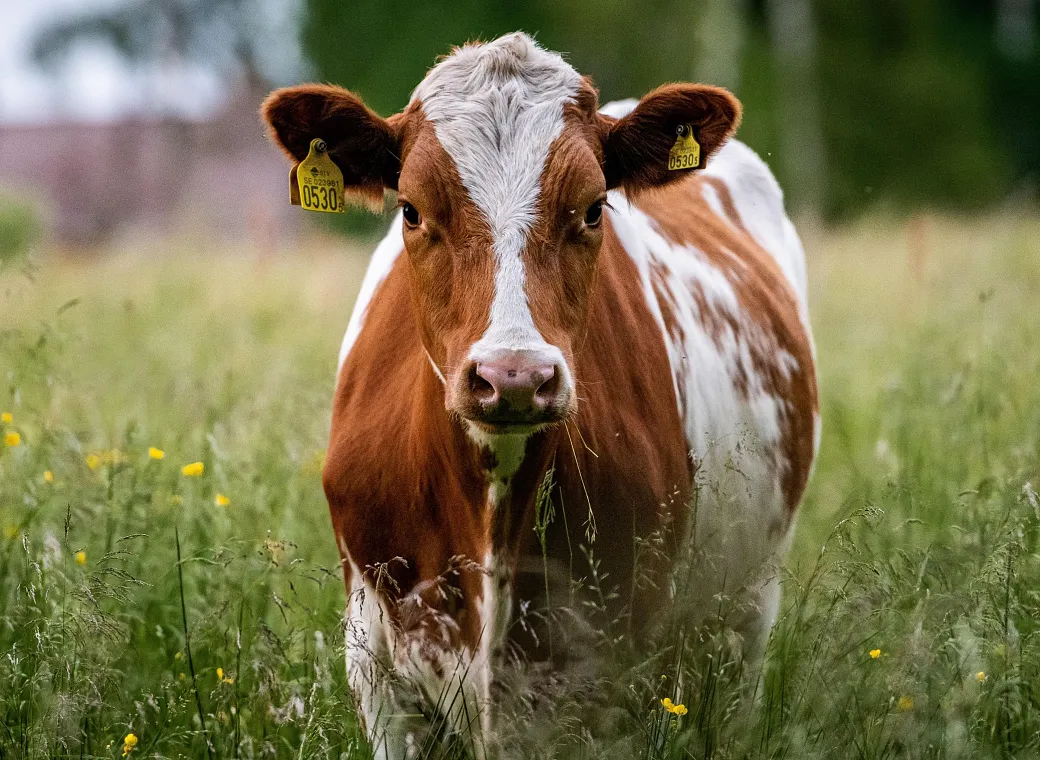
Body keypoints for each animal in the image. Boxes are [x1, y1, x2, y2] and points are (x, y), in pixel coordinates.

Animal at [262, 32, 819, 759]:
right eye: (412, 209)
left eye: (593, 208)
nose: (514, 376)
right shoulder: (379, 671)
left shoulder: (619, 672)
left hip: (746, 612)